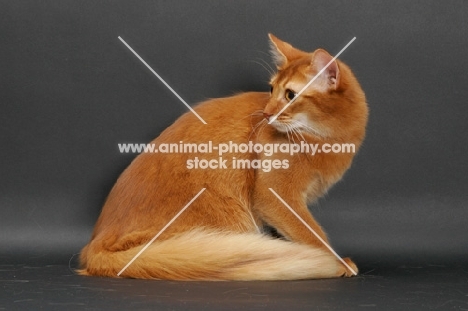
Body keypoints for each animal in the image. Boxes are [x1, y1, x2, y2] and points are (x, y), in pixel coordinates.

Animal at [78, 34, 368, 282]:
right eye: (271, 89)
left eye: (290, 95)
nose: (266, 114)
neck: (326, 139)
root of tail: (95, 245)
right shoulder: (275, 194)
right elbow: (310, 232)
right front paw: (338, 262)